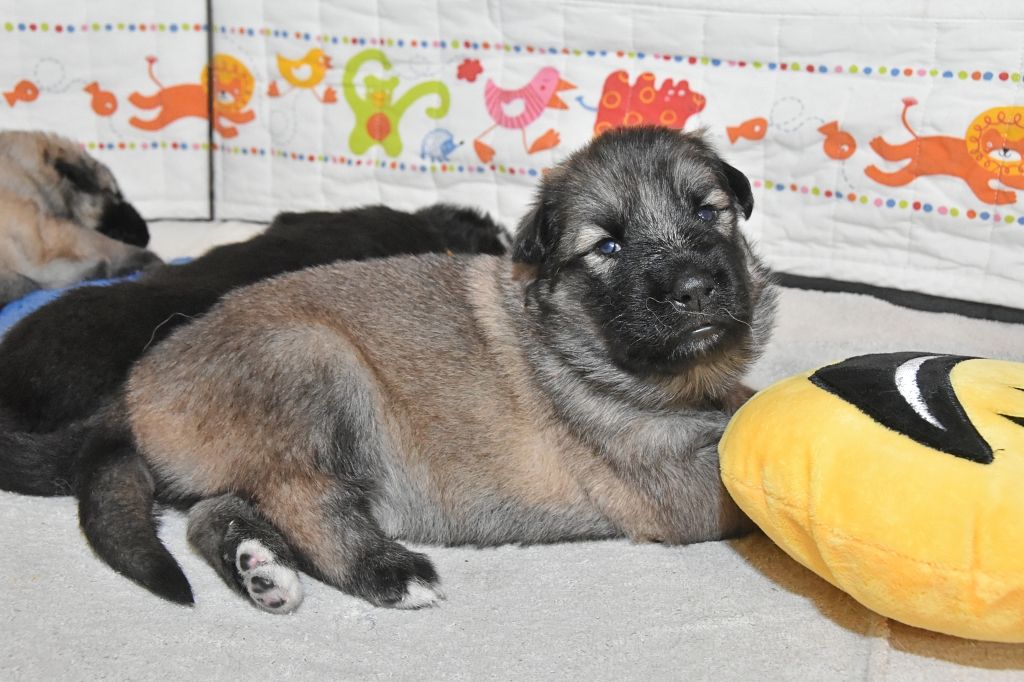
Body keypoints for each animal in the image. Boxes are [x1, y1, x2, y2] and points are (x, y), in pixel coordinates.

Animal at [78, 126, 777, 614]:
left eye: (706, 212)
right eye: (608, 245)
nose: (694, 288)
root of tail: (140, 383)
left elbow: (741, 404)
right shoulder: (666, 479)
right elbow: (738, 485)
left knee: (211, 512)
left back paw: (259, 567)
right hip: (314, 360)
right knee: (306, 499)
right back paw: (387, 572)